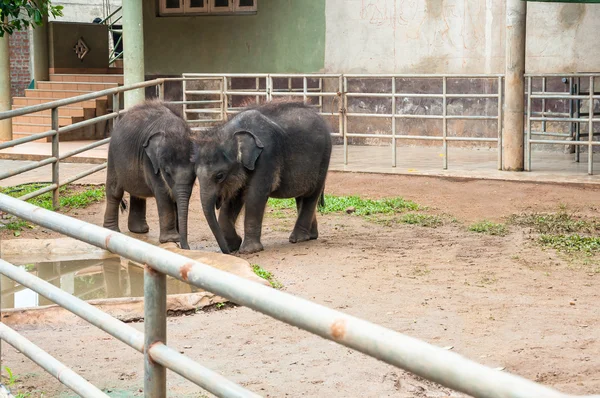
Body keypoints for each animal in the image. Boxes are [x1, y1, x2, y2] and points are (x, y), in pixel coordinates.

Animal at [103, 99, 195, 249]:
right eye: (167, 172)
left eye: (194, 174)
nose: (184, 247)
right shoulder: (150, 161)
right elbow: (163, 193)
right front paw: (171, 239)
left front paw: (175, 238)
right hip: (113, 156)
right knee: (115, 193)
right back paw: (112, 231)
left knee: (137, 194)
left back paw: (139, 230)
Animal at [192, 101, 332, 253]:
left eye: (219, 175)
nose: (227, 251)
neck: (233, 133)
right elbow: (233, 198)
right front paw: (234, 245)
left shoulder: (266, 156)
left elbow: (255, 195)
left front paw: (249, 250)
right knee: (302, 196)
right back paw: (311, 236)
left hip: (323, 158)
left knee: (311, 196)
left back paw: (298, 239)